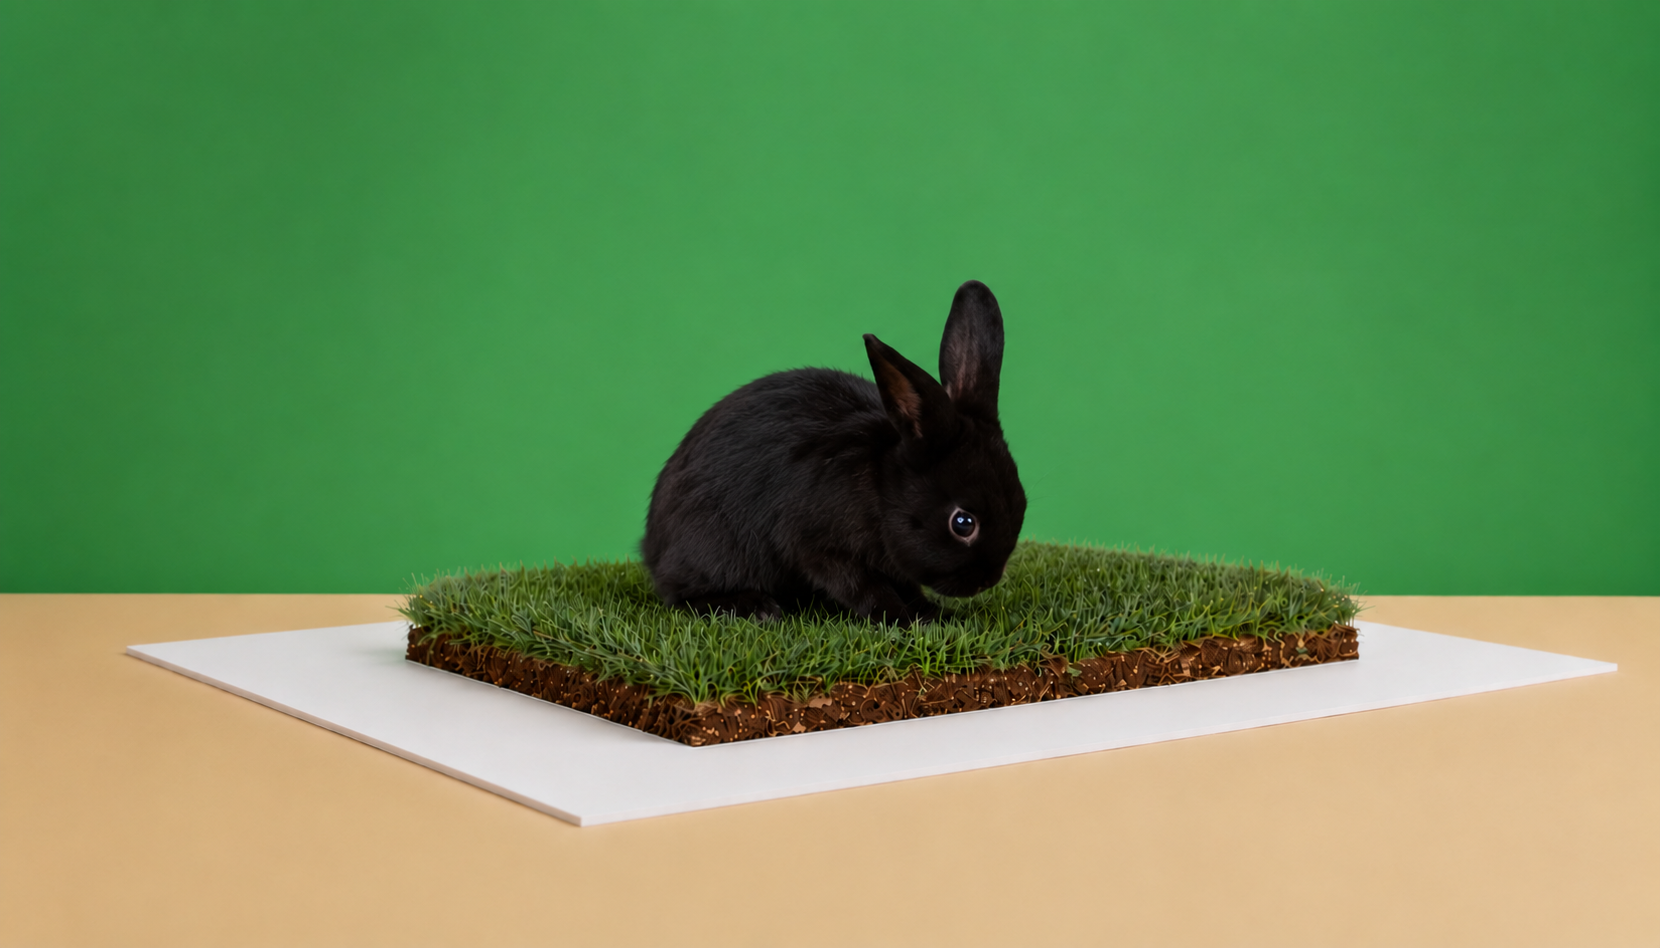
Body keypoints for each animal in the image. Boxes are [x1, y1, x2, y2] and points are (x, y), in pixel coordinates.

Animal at [641, 280, 1026, 624]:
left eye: (1021, 502)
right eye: (963, 523)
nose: (986, 581)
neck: (880, 491)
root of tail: (653, 548)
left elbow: (905, 586)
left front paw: (932, 615)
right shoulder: (821, 549)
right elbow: (864, 587)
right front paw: (897, 618)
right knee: (681, 596)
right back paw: (754, 607)